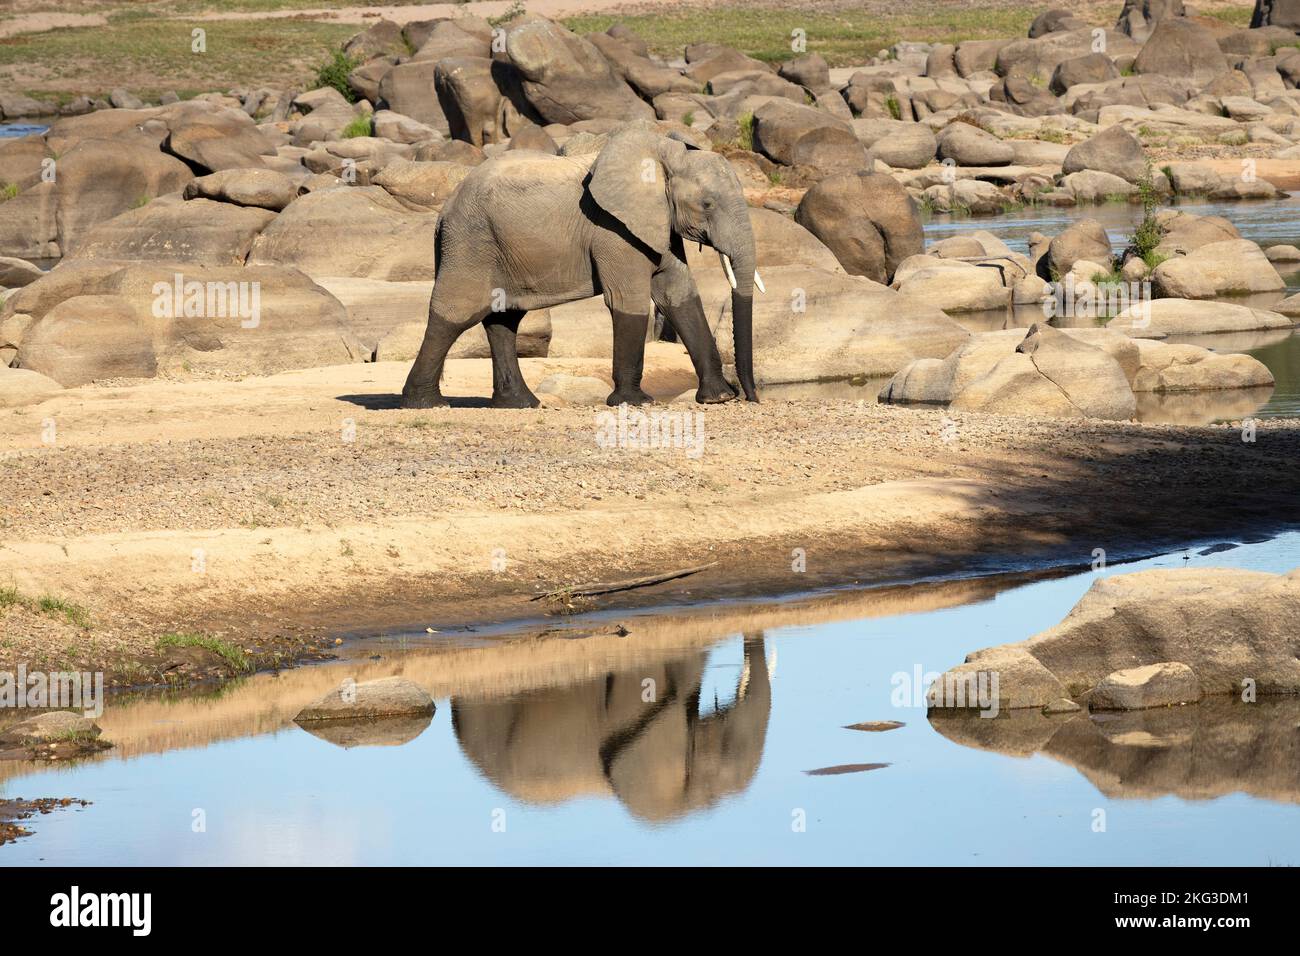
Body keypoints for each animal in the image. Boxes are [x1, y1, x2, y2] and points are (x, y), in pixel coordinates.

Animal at [403, 122, 759, 408]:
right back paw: (425, 403)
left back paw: (520, 403)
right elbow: (628, 301)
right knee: (455, 312)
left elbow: (678, 294)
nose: (750, 397)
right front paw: (635, 402)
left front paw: (718, 398)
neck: (663, 153)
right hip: (469, 242)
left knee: (503, 318)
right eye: (707, 204)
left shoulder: (657, 224)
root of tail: (444, 210)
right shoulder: (612, 229)